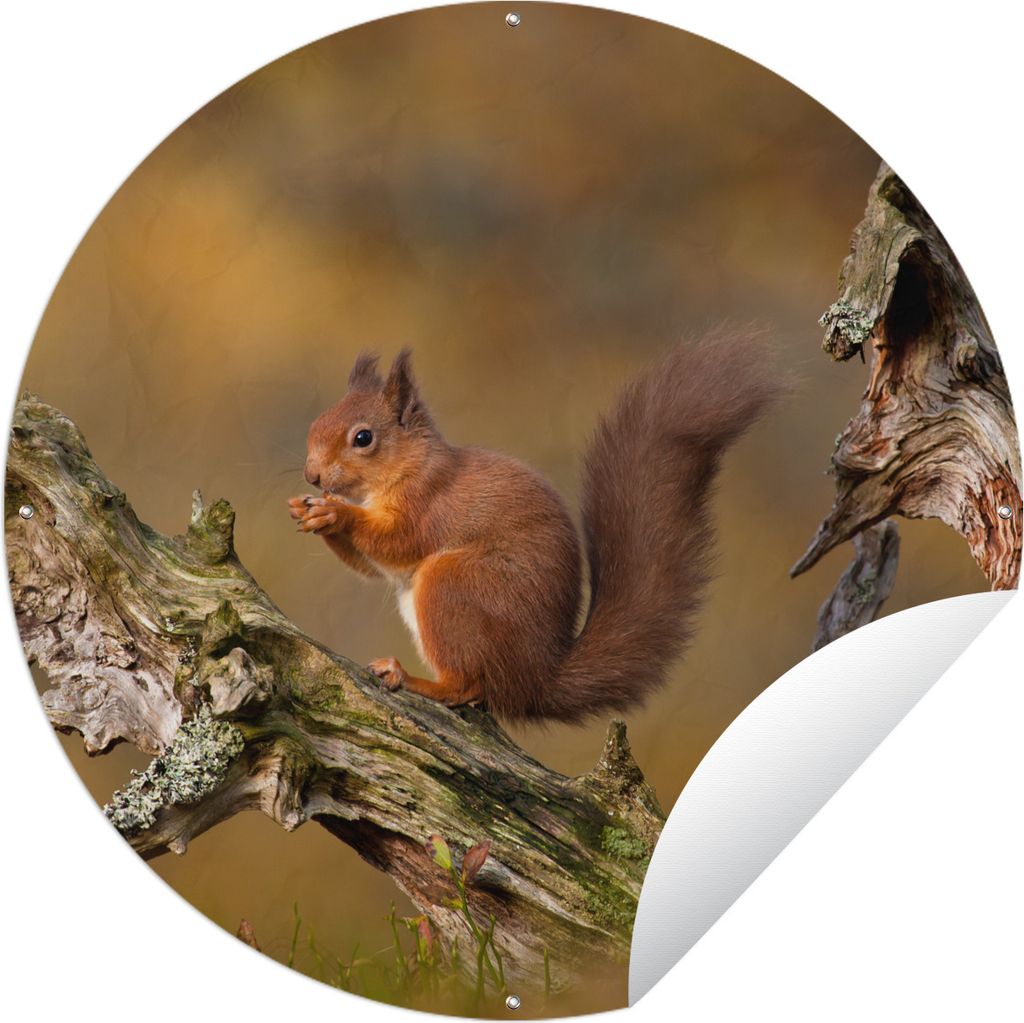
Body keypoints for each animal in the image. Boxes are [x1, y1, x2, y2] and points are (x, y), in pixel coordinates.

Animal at [288, 331, 782, 723]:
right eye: (315, 424)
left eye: (363, 438)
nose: (311, 475)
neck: (410, 467)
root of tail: (535, 681)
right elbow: (372, 568)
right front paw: (309, 510)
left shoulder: (429, 504)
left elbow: (398, 542)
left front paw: (336, 513)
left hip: (454, 585)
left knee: (467, 685)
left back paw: (413, 679)